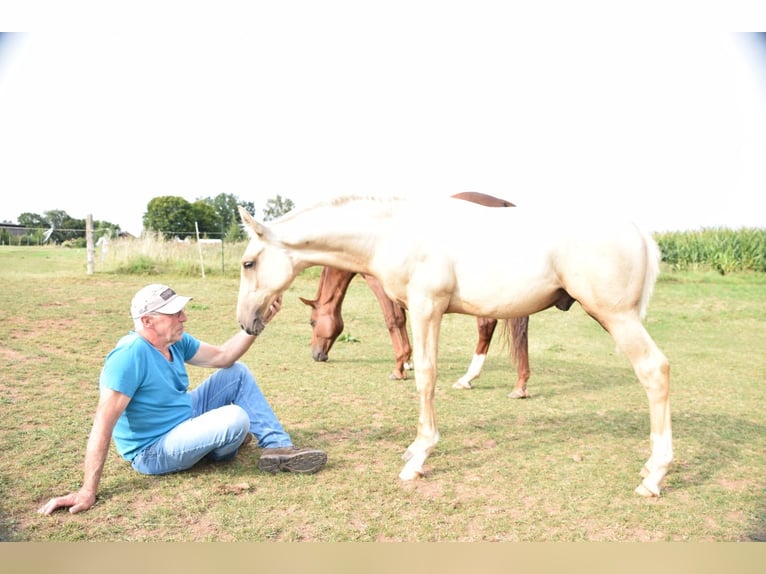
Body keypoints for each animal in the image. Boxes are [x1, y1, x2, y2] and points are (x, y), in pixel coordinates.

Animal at [300, 191, 536, 398]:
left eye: (312, 322)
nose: (316, 355)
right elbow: (402, 321)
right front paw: (407, 362)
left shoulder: (380, 285)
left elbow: (393, 320)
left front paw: (399, 367)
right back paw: (519, 384)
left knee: (486, 325)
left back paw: (468, 378)